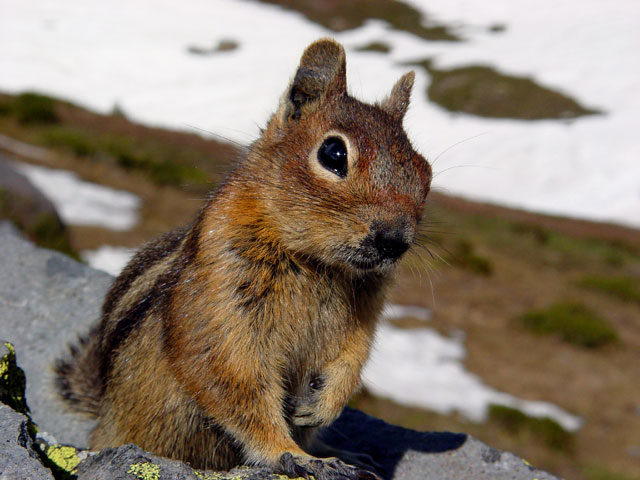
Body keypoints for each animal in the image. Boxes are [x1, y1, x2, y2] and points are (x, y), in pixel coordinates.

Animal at [55, 38, 431, 479]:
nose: (394, 240)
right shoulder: (223, 305)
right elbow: (239, 386)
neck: (319, 265)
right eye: (334, 153)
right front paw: (293, 455)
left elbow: (352, 360)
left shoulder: (365, 316)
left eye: (425, 171)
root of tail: (101, 418)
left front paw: (322, 409)